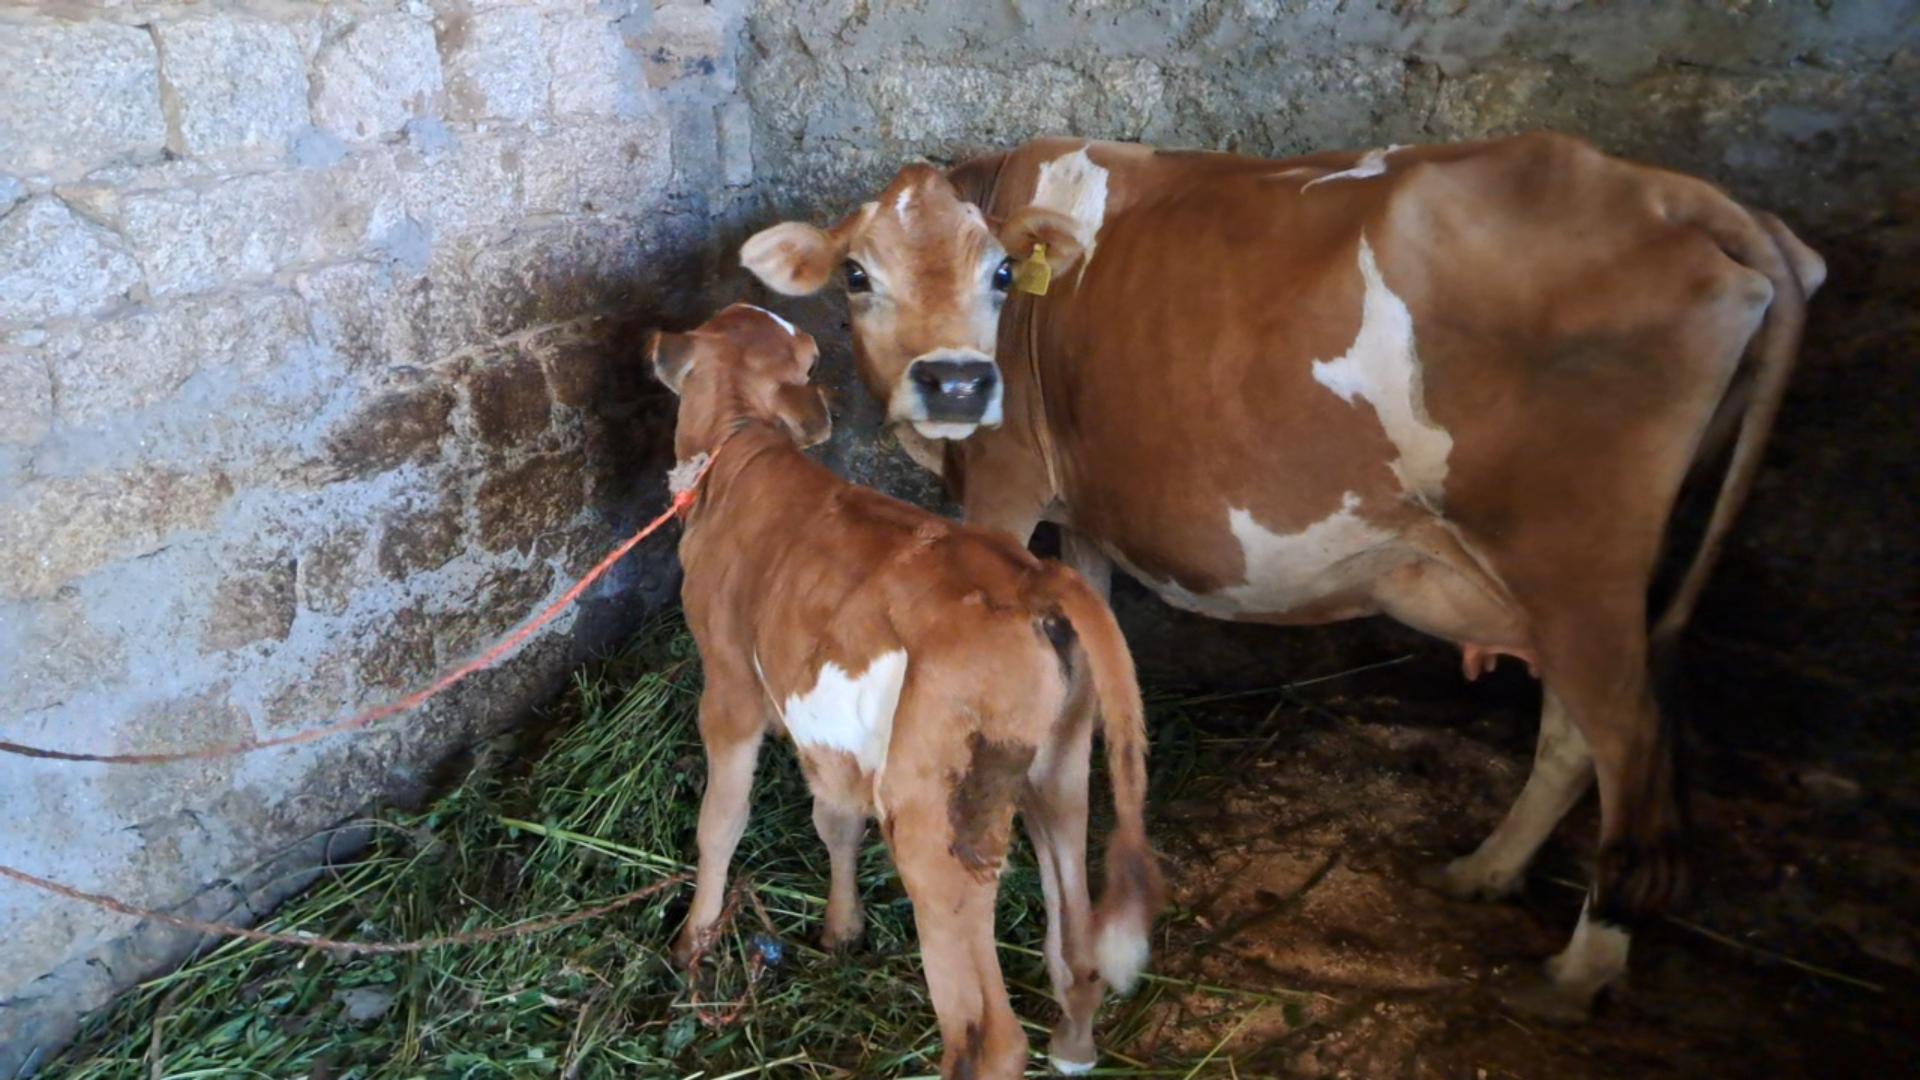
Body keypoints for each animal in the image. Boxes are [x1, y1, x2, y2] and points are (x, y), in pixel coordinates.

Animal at [652, 305, 1159, 1076]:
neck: (742, 444)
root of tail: (1033, 577)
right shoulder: (827, 733)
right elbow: (834, 821)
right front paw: (842, 928)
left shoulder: (731, 687)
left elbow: (722, 821)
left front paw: (693, 942)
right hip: (1055, 768)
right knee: (1075, 949)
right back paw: (1073, 1043)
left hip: (934, 815)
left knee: (989, 1033)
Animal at [737, 130, 1827, 1014]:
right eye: (856, 276)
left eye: (1005, 273)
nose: (957, 382)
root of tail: (1673, 193)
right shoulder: (1087, 516)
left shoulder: (1005, 484)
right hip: (1558, 574)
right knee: (1575, 733)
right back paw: (1486, 871)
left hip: (1576, 555)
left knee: (1631, 735)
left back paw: (1582, 967)